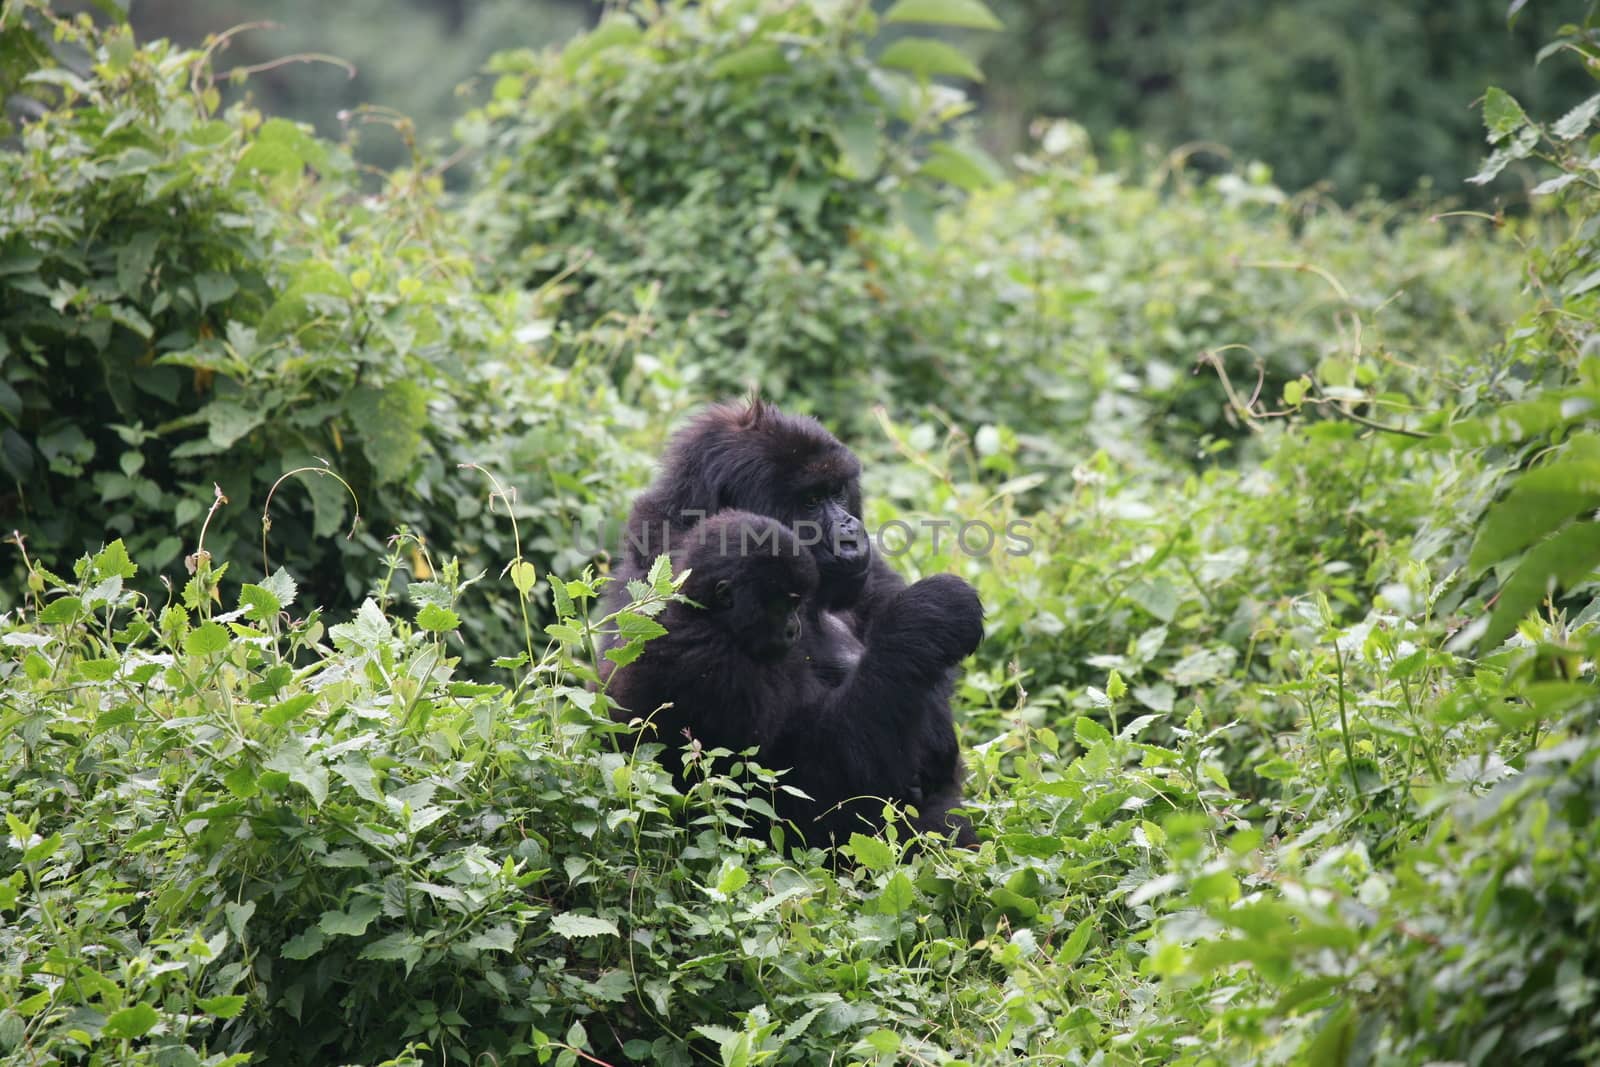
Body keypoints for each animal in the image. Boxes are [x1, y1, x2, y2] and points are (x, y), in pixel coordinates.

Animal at [604, 396, 979, 844]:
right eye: (811, 502)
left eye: (837, 492)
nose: (851, 533)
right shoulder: (694, 635)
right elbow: (808, 786)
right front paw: (927, 617)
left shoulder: (869, 575)